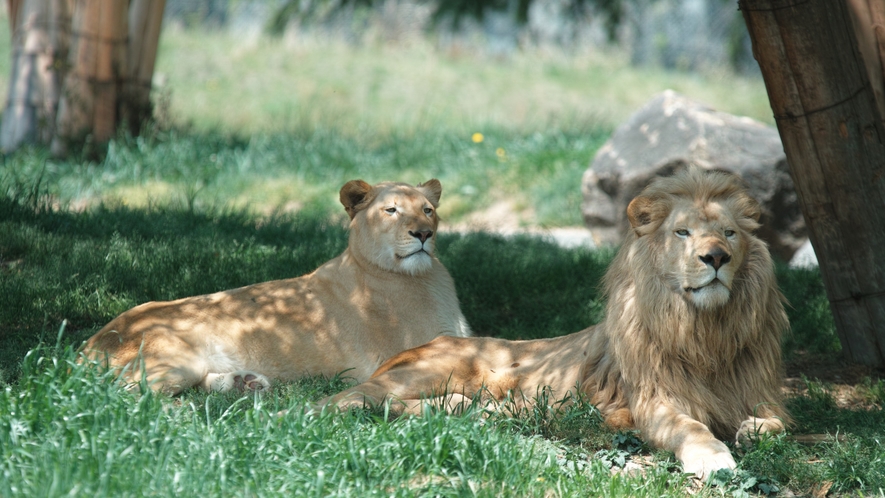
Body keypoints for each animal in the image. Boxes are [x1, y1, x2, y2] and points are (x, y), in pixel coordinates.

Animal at [79, 181, 474, 394]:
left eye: (428, 210)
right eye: (391, 210)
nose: (424, 234)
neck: (425, 277)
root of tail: (90, 344)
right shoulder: (406, 353)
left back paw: (245, 384)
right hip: (173, 362)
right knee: (119, 396)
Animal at [322, 169, 792, 480]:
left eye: (729, 233)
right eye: (683, 233)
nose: (716, 258)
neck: (705, 330)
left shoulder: (762, 395)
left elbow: (777, 425)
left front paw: (752, 433)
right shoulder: (653, 400)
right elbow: (690, 426)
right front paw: (713, 456)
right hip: (432, 370)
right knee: (341, 398)